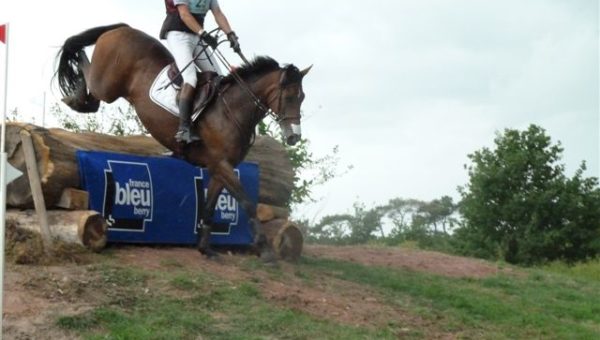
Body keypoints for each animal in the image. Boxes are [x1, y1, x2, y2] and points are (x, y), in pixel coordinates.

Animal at [55, 23, 314, 262]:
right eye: (289, 97)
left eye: (302, 98)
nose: (294, 137)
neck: (233, 110)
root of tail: (122, 28)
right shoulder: (222, 164)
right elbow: (248, 202)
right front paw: (266, 249)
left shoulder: (219, 167)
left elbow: (209, 207)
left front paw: (205, 248)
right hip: (107, 85)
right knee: (89, 78)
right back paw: (76, 89)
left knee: (92, 99)